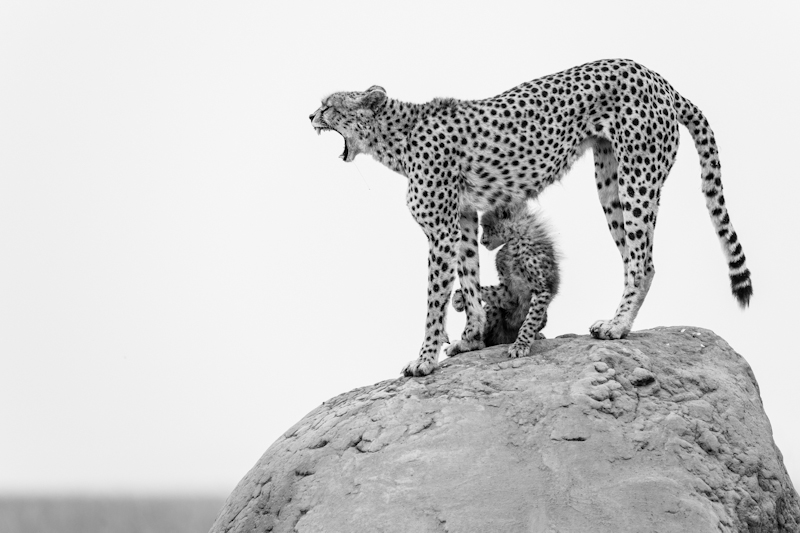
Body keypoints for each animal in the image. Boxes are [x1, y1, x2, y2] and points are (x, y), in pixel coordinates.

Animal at [451, 201, 560, 359]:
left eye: (486, 226)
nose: (482, 241)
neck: (515, 239)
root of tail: (504, 339)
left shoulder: (542, 289)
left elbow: (530, 321)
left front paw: (521, 345)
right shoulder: (509, 292)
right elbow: (487, 291)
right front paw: (459, 297)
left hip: (543, 317)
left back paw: (537, 336)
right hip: (493, 314)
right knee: (482, 340)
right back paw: (462, 345)